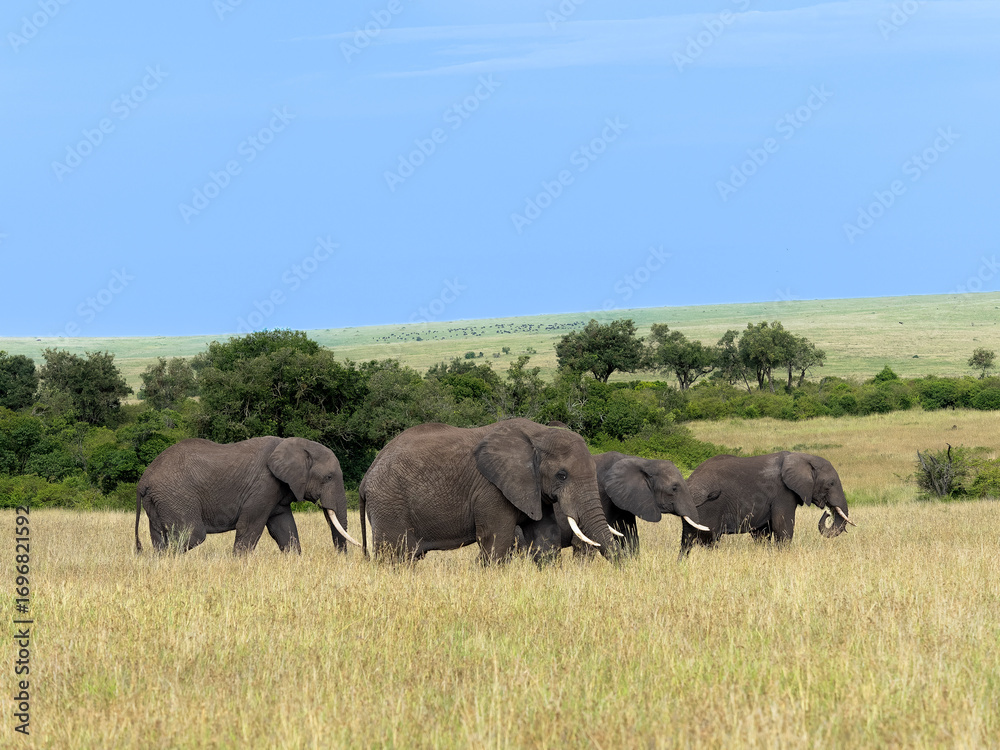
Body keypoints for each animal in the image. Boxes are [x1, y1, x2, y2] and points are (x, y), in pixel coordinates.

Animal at [135, 436, 360, 554]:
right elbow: (250, 527)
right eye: (329, 477)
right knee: (192, 535)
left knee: (159, 538)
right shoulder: (264, 485)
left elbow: (284, 528)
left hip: (158, 501)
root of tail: (144, 479)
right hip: (176, 495)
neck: (293, 444)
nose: (341, 558)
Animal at [358, 418, 620, 564]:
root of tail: (366, 476)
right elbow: (497, 541)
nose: (623, 566)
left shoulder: (533, 488)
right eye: (562, 475)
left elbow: (546, 540)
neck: (538, 435)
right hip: (389, 503)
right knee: (395, 557)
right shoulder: (492, 490)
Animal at [516, 451, 709, 561]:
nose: (678, 563)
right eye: (674, 488)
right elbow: (585, 543)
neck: (642, 461)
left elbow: (630, 539)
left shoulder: (626, 502)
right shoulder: (600, 496)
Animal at [679, 451, 856, 558]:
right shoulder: (782, 493)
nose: (827, 512)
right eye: (831, 484)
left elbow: (762, 532)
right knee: (709, 539)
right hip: (707, 508)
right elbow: (782, 526)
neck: (802, 457)